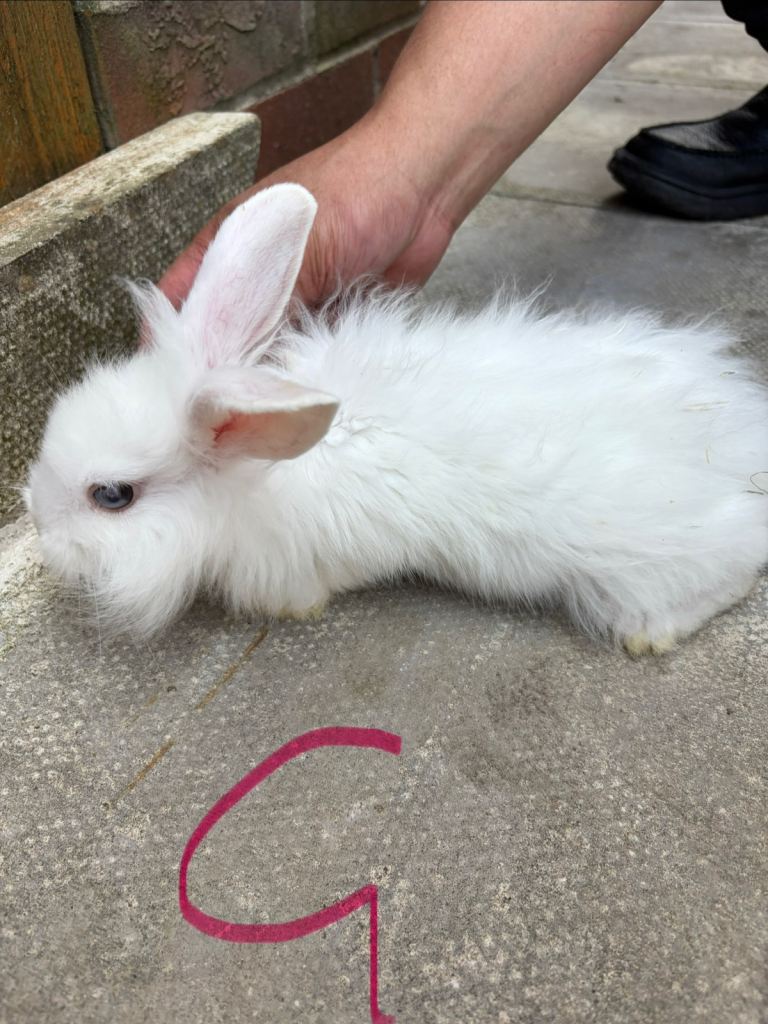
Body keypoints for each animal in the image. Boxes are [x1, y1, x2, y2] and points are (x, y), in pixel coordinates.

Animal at [25, 184, 768, 653]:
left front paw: (297, 608)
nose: (38, 526)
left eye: (112, 496)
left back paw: (648, 635)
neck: (251, 479)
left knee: (735, 567)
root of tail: (741, 438)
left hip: (650, 554)